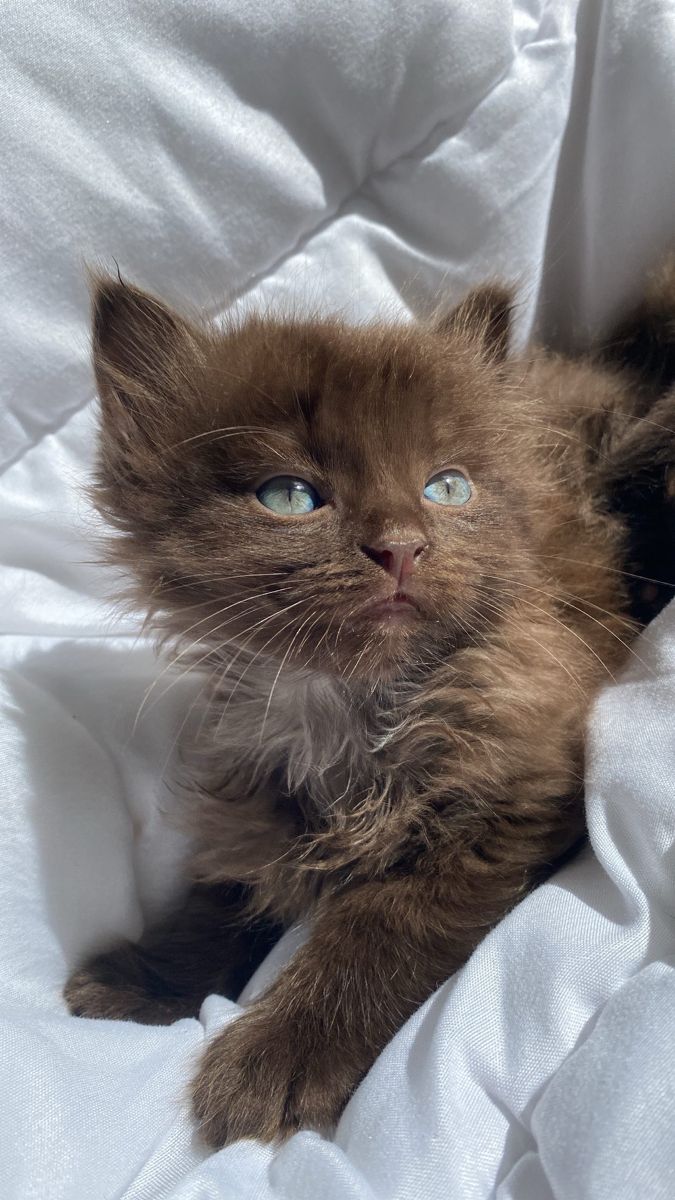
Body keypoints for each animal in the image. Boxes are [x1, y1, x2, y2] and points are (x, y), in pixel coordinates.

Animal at [65, 260, 672, 1142]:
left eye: (446, 487)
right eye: (288, 496)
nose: (402, 546)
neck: (350, 705)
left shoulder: (508, 797)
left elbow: (380, 922)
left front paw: (280, 1053)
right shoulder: (259, 790)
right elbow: (224, 894)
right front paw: (147, 976)